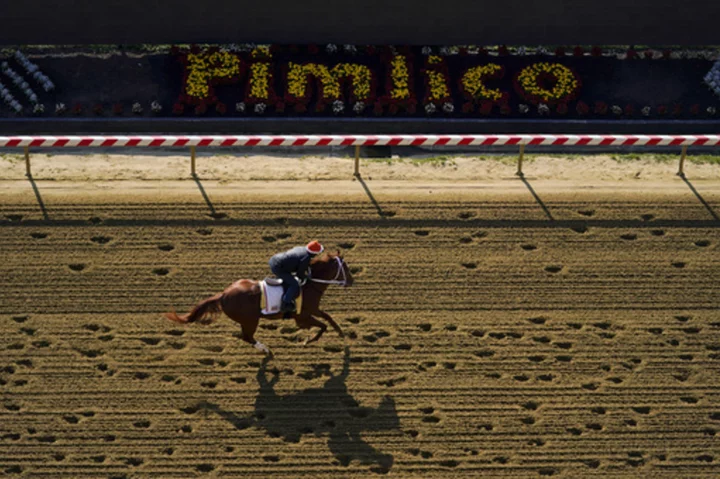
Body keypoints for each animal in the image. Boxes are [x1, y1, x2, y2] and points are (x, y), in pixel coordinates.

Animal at [164, 251, 354, 356]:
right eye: (344, 267)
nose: (352, 281)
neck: (309, 284)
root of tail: (223, 294)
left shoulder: (313, 309)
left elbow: (328, 318)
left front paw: (341, 333)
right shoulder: (302, 317)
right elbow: (322, 326)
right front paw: (308, 340)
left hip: (247, 320)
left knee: (245, 336)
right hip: (250, 320)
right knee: (247, 337)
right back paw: (266, 349)